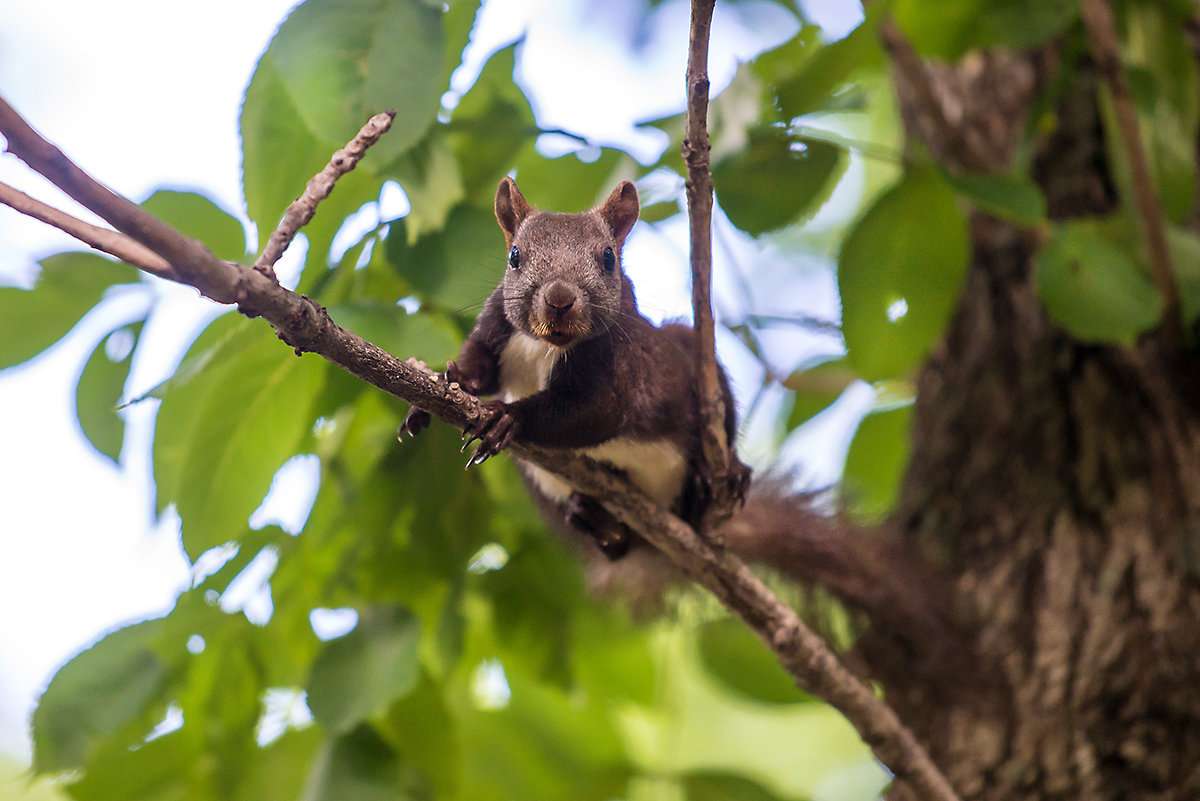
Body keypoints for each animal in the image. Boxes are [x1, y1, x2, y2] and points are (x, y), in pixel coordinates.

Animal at [400, 178, 748, 582]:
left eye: (609, 258)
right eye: (514, 256)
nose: (559, 299)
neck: (544, 345)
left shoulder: (618, 369)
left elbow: (595, 412)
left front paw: (507, 417)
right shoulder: (495, 324)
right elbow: (478, 372)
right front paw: (441, 384)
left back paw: (722, 474)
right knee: (615, 543)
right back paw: (596, 520)